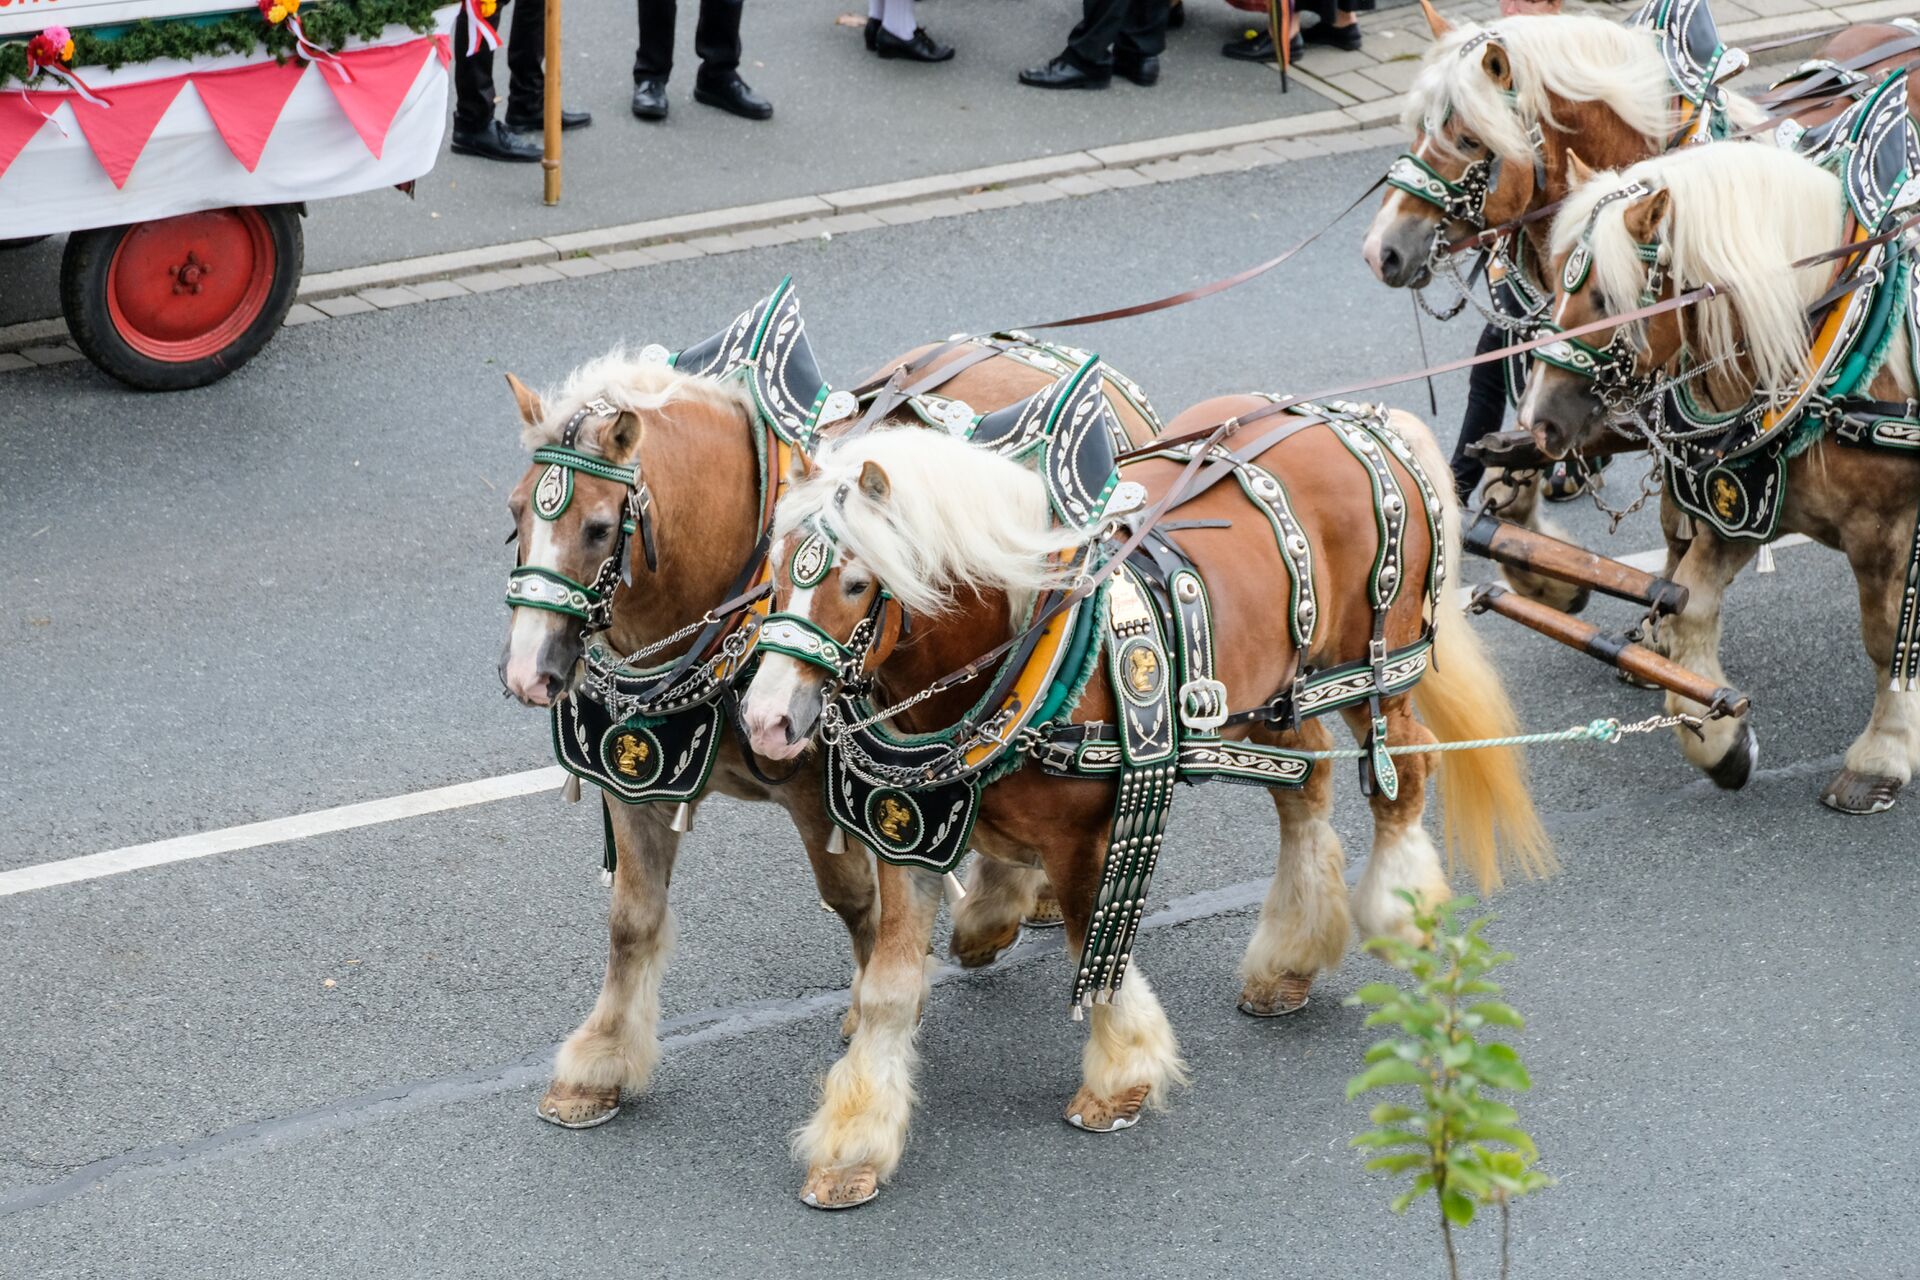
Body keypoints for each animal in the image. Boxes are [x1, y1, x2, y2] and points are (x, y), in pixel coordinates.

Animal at [498, 318, 1165, 1130]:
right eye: (514, 514)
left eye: (598, 529)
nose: (528, 673)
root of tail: (1046, 351)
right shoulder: (636, 769)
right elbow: (632, 917)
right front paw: (598, 1063)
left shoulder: (820, 790)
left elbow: (856, 902)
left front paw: (881, 1021)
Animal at [739, 398, 1552, 1207]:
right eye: (776, 569)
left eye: (855, 582)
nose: (766, 720)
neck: (1017, 653)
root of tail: (1357, 416)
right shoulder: (907, 831)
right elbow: (890, 987)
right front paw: (853, 1143)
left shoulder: (1082, 836)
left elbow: (1093, 947)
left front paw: (1121, 1077)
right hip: (1275, 694)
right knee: (1305, 790)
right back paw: (1290, 957)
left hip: (1373, 671)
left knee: (1403, 773)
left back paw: (1401, 910)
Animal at [1515, 135, 1920, 813]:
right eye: (1556, 282)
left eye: (1604, 300)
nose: (1536, 422)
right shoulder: (1742, 504)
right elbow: (1689, 605)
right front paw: (1719, 740)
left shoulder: (1883, 529)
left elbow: (1885, 637)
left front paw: (1882, 755)